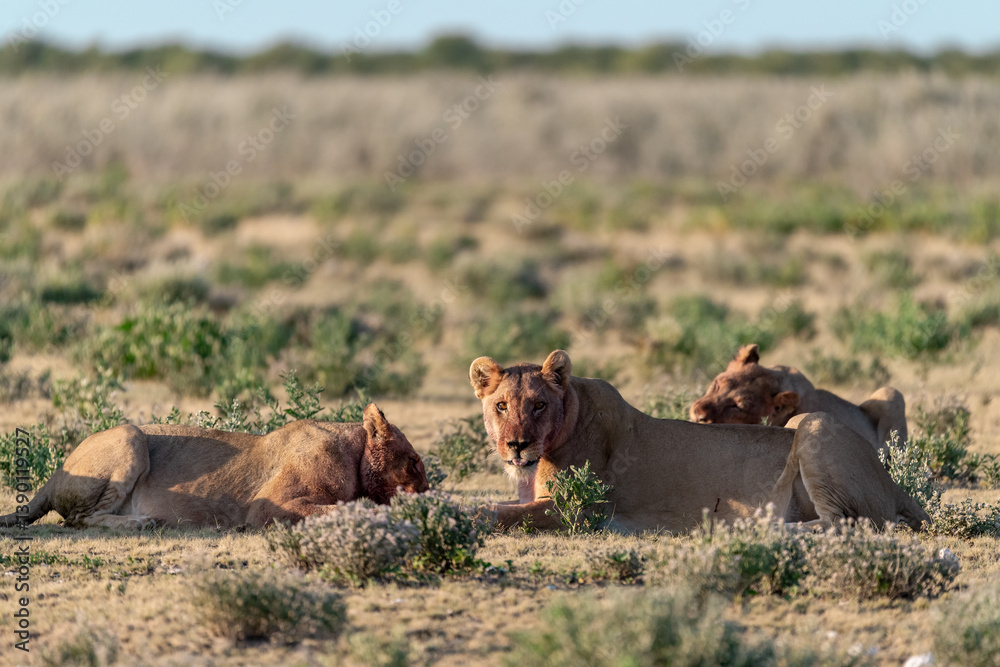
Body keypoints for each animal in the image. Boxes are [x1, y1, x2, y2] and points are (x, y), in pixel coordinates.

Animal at [0, 404, 428, 530]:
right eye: (415, 463)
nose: (429, 495)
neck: (354, 453)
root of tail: (55, 472)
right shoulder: (267, 507)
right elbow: (347, 507)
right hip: (130, 436)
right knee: (79, 519)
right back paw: (141, 522)